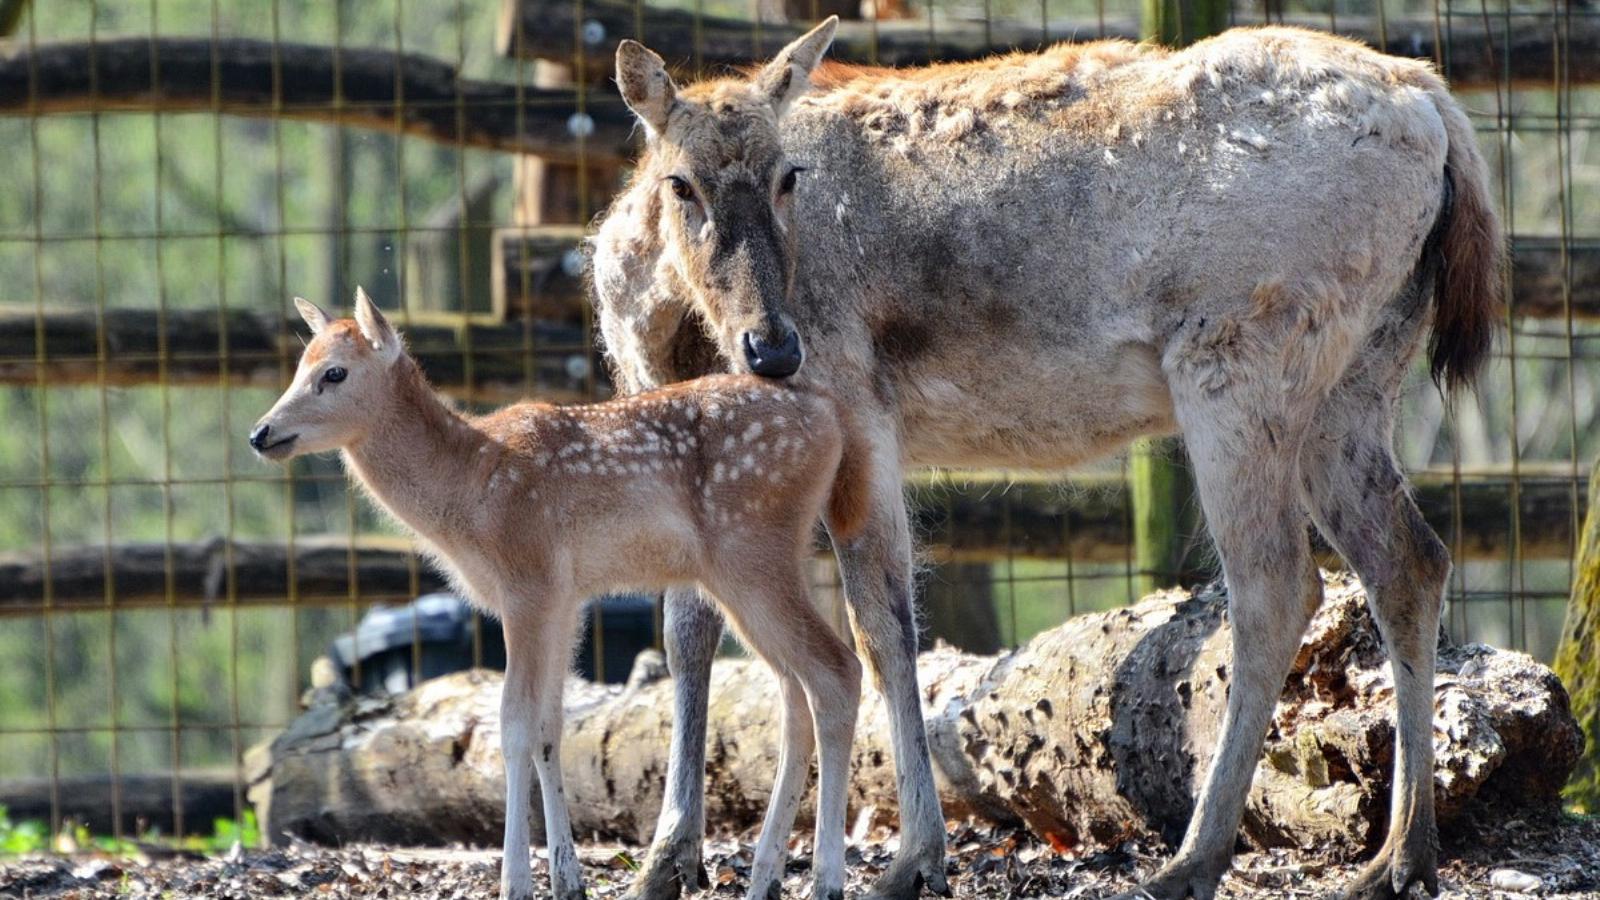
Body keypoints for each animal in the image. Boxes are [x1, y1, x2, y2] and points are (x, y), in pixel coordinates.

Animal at [598, 17, 1497, 890]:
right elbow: (686, 626)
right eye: (681, 184)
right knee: (1410, 559)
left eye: (791, 176)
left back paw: (1193, 859)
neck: (666, 331)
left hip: (1242, 356)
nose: (775, 346)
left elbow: (882, 627)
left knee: (1277, 585)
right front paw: (667, 857)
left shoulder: (855, 396)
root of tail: (1438, 110)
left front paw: (915, 858)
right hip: (1359, 380)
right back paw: (1400, 857)